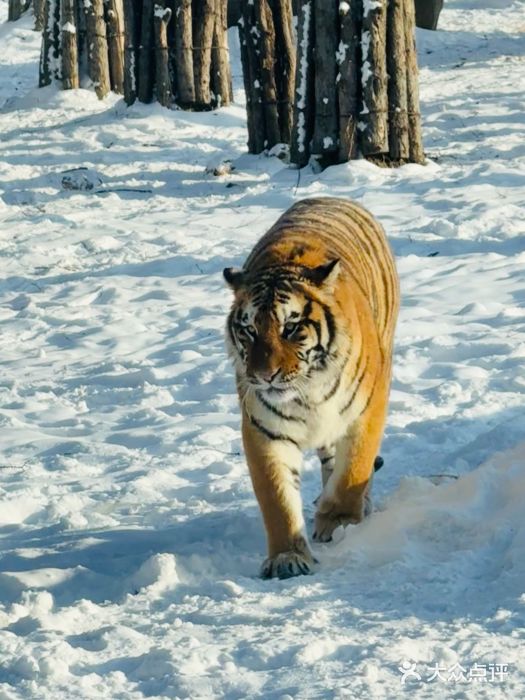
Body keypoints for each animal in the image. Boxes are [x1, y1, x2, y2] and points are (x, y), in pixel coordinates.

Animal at [223, 197, 399, 579]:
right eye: (249, 330)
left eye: (291, 328)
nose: (264, 375)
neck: (308, 393)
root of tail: (332, 198)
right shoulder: (264, 431)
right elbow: (276, 497)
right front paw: (287, 557)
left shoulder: (365, 413)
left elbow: (353, 470)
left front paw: (339, 521)